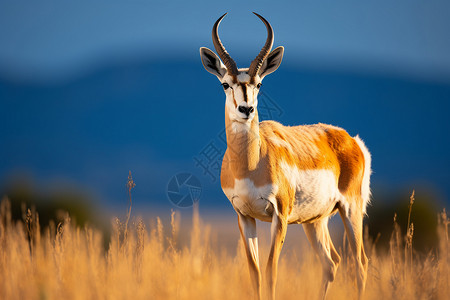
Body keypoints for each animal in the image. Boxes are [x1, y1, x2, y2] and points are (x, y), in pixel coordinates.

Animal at [200, 12, 370, 300]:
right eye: (225, 84)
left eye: (259, 83)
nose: (246, 109)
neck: (250, 165)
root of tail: (351, 140)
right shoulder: (244, 216)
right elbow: (255, 274)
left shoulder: (279, 215)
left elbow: (271, 272)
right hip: (315, 220)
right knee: (331, 263)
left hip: (351, 209)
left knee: (359, 265)